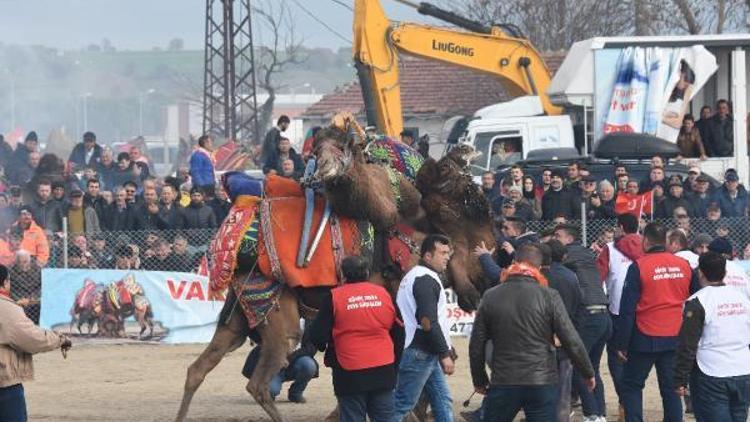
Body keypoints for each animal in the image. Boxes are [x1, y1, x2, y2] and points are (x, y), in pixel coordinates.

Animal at [173, 115, 496, 422]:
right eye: (466, 201)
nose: (484, 276)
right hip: (277, 317)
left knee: (197, 369)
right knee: (258, 383)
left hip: (237, 318)